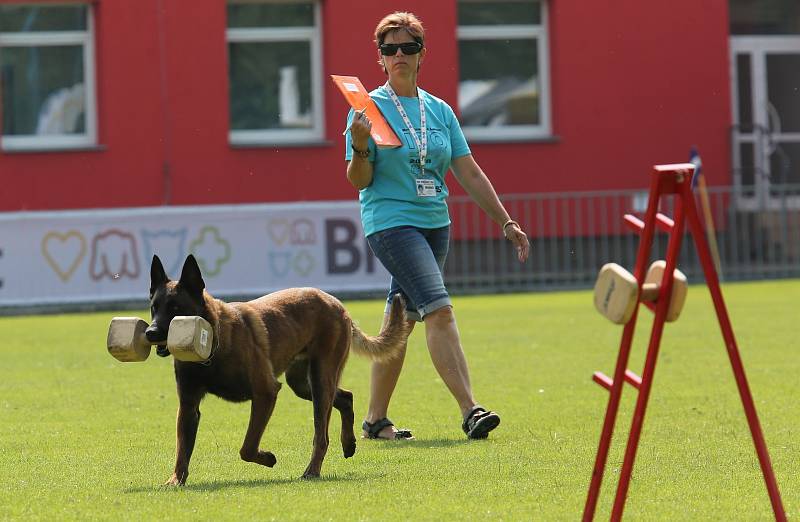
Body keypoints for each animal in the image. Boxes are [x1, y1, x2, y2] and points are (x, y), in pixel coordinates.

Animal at [146, 253, 410, 484]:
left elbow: (247, 446)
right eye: (154, 307)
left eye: (176, 308)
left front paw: (267, 458)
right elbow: (182, 450)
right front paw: (175, 481)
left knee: (321, 435)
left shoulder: (265, 393)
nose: (150, 333)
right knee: (346, 397)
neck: (212, 347)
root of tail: (335, 302)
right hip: (303, 384)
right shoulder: (188, 405)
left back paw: (312, 471)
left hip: (320, 380)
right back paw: (348, 443)